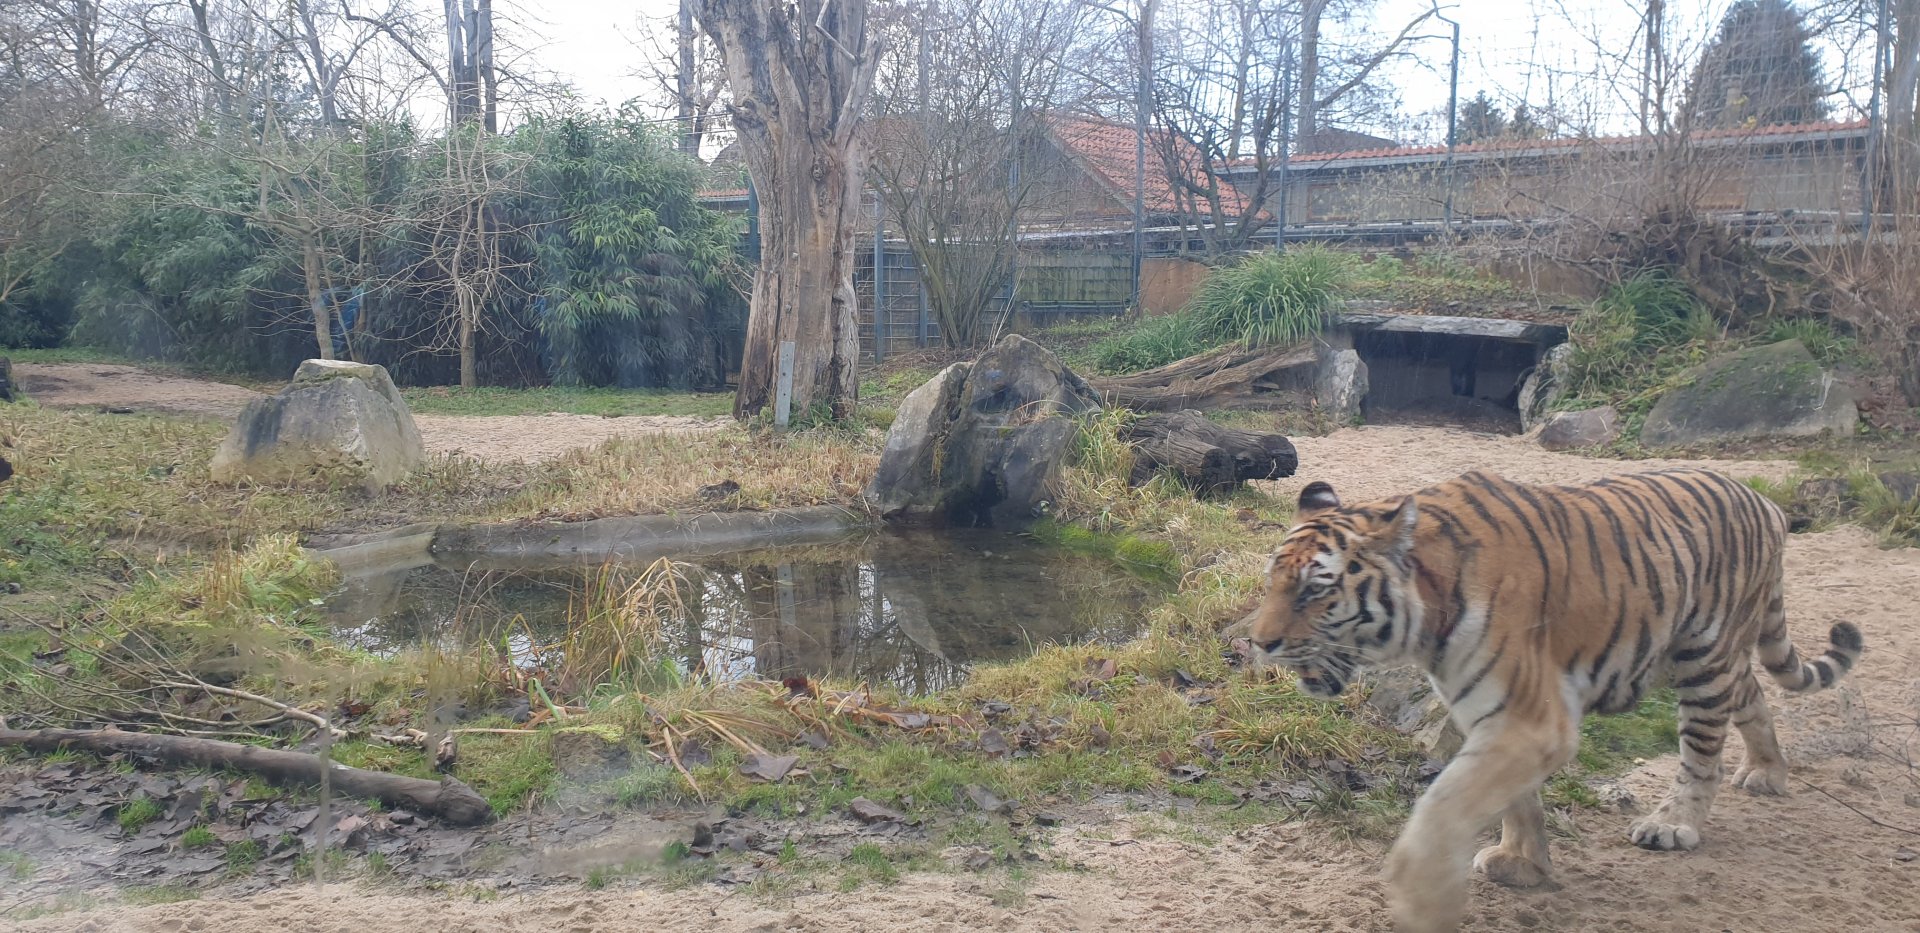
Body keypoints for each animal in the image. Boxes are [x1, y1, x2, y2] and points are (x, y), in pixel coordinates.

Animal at [1248, 468, 1863, 933]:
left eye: (1314, 590)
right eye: (1274, 581)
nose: (1259, 642)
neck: (1426, 620)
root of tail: (1766, 502)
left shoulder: (1529, 718)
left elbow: (1445, 808)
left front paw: (1422, 901)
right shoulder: (1489, 712)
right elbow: (1514, 799)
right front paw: (1521, 864)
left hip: (1704, 659)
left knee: (1702, 753)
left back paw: (1673, 824)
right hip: (1712, 656)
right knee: (1754, 694)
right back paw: (1766, 772)